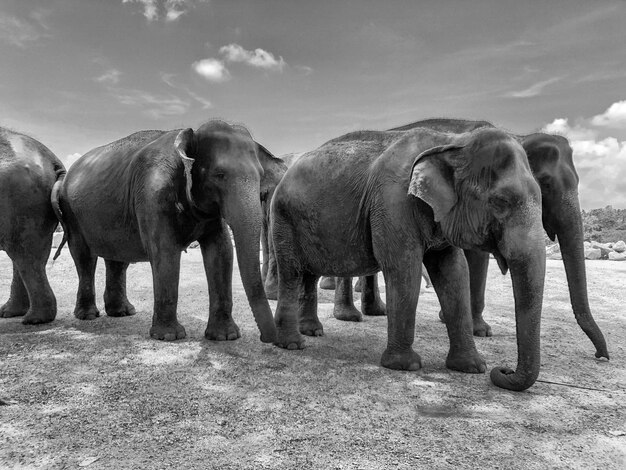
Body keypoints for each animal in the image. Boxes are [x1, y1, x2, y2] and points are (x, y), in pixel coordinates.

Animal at [0, 129, 66, 326]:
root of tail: (53, 161)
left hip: (23, 203)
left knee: (26, 258)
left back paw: (33, 319)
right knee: (25, 256)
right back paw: (10, 313)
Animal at [53, 119, 278, 344]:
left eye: (260, 177)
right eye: (219, 175)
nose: (267, 339)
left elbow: (221, 251)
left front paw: (225, 337)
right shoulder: (153, 194)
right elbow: (165, 251)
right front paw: (170, 336)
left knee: (117, 259)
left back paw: (122, 312)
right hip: (72, 214)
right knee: (84, 257)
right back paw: (89, 315)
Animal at [270, 126, 544, 392]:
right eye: (501, 202)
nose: (503, 370)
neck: (452, 141)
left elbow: (454, 273)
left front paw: (472, 367)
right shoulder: (394, 203)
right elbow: (404, 268)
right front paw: (405, 366)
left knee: (309, 274)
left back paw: (312, 331)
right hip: (283, 219)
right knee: (292, 273)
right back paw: (293, 344)